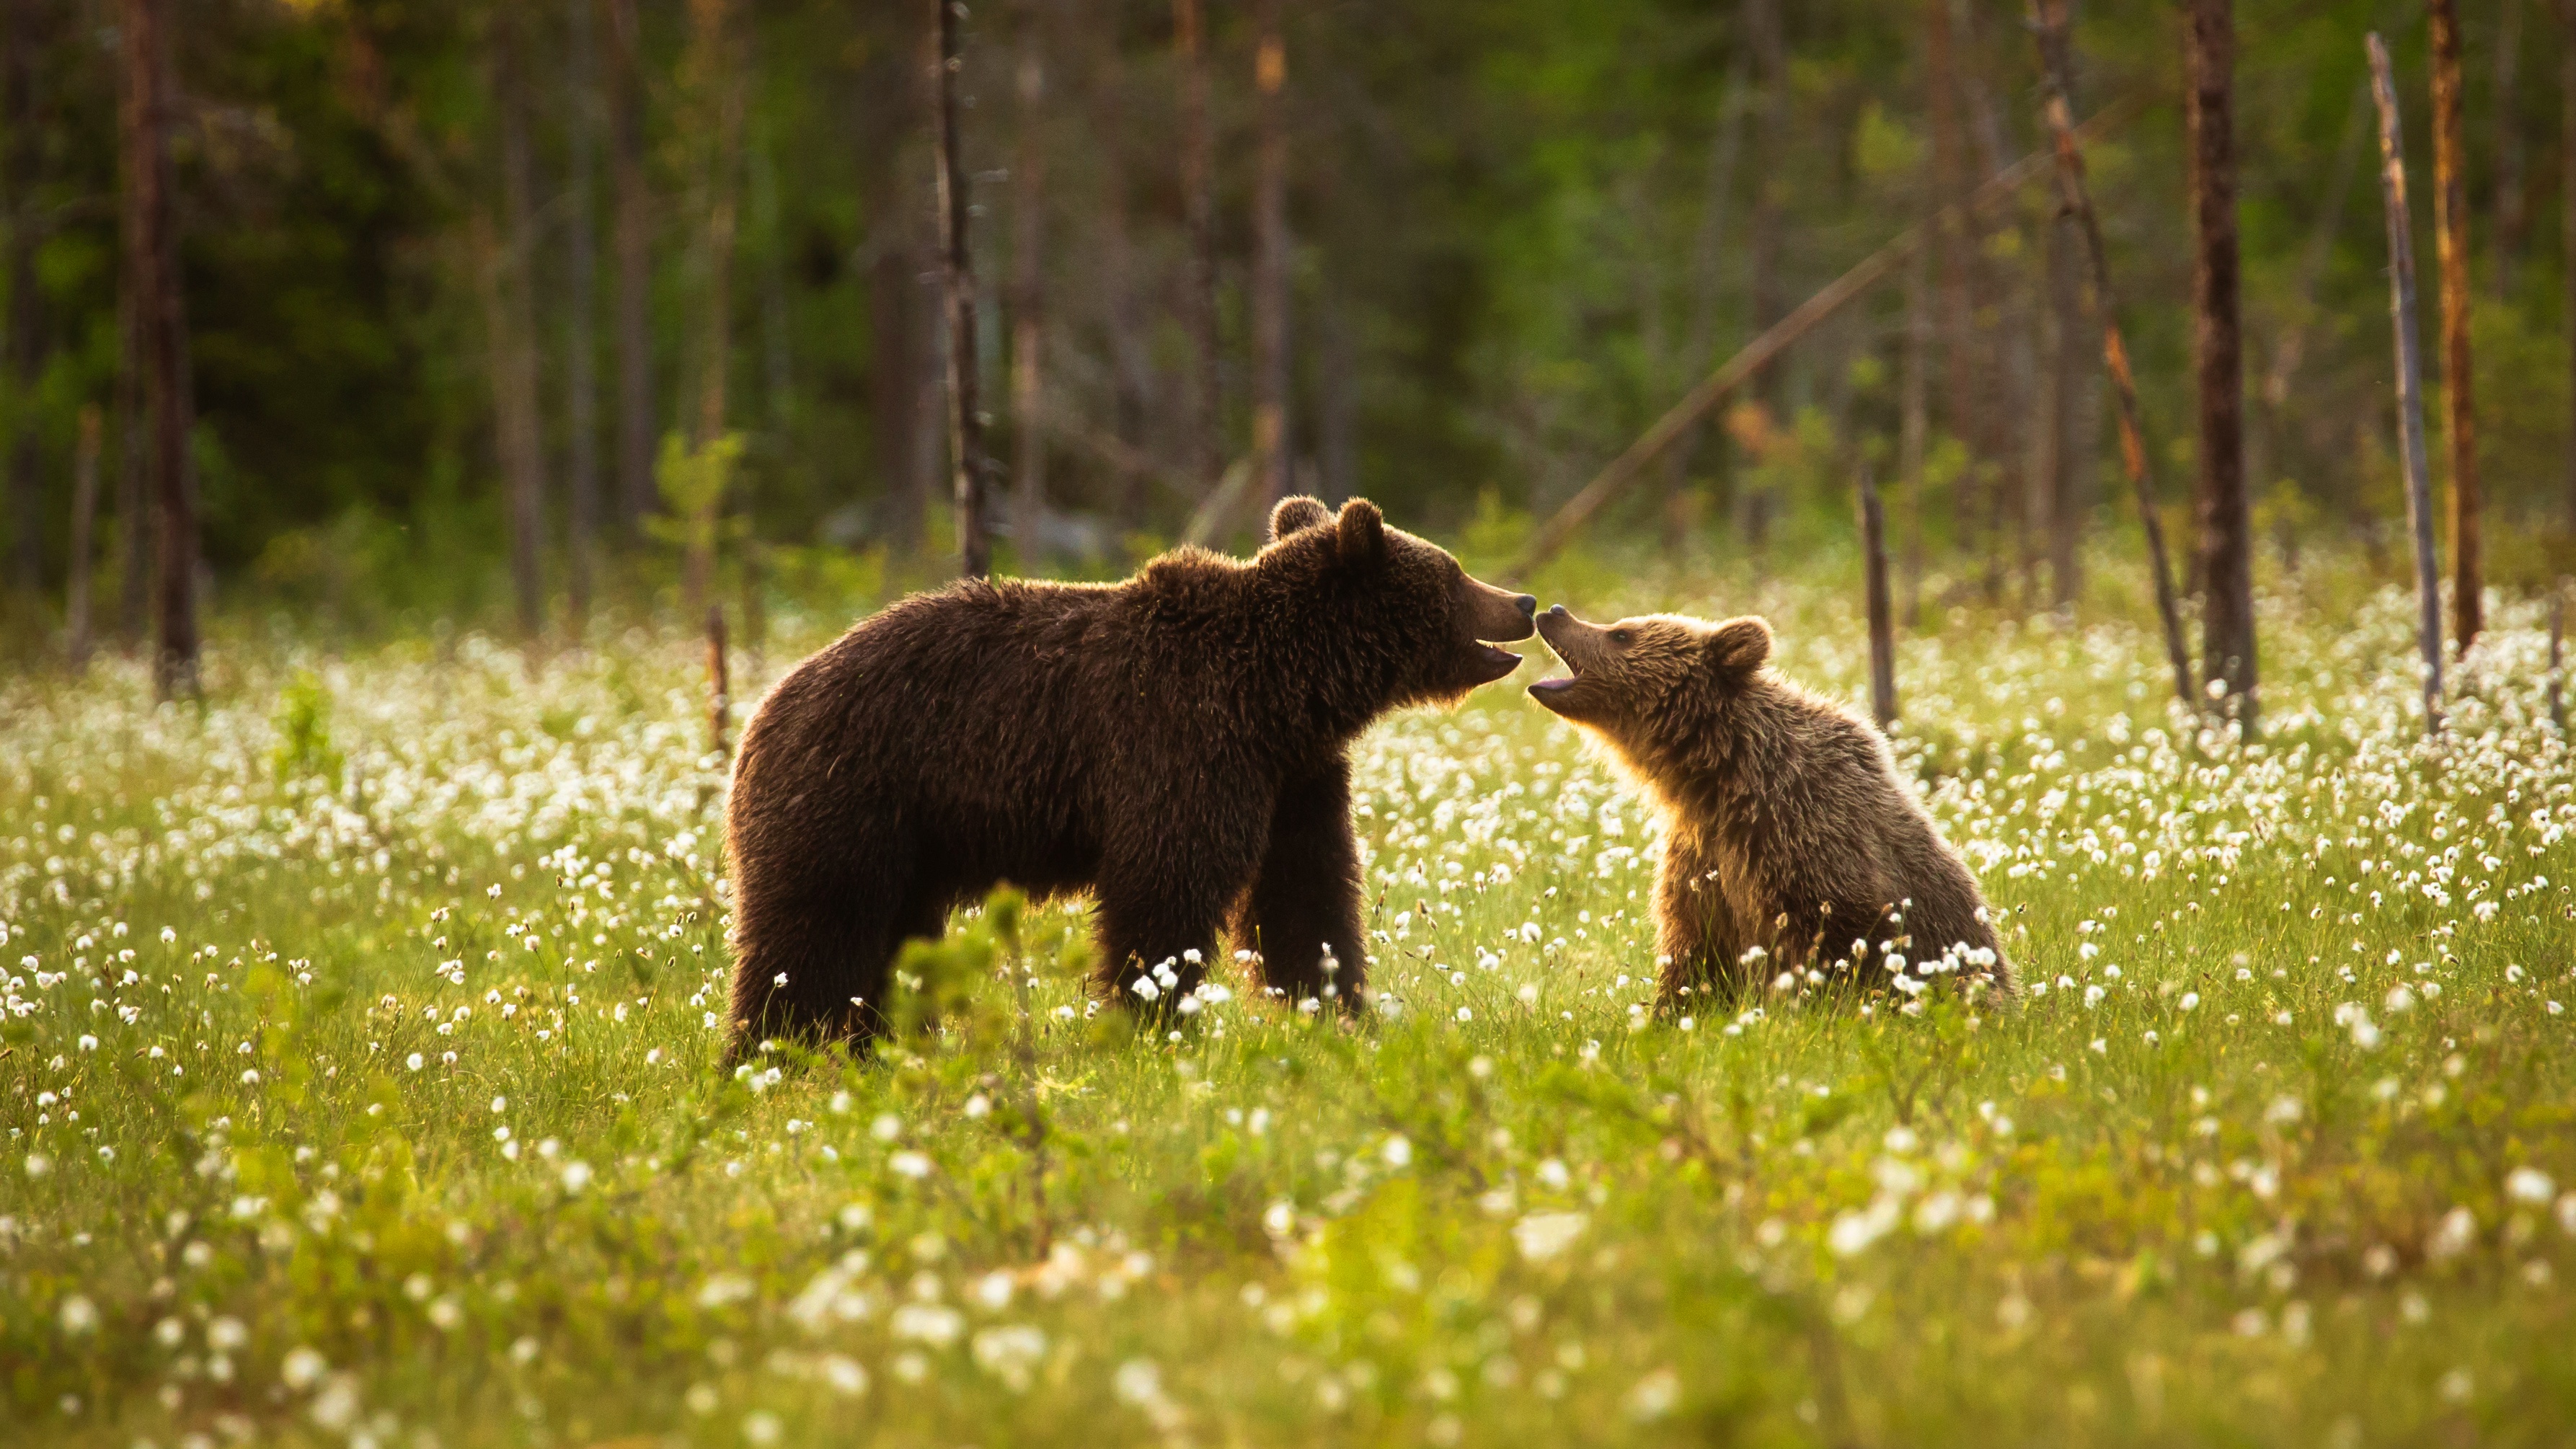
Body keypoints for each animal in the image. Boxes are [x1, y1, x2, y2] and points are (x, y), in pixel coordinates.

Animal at [716, 497, 1535, 1055]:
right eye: (1454, 574)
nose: (1523, 601)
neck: (1282, 695)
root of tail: (761, 714)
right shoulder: (1178, 744)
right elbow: (1165, 888)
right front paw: (1151, 1021)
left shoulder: (1293, 781)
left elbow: (1306, 895)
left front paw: (1337, 1009)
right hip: (852, 797)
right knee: (811, 934)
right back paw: (770, 1052)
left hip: (908, 845)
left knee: (887, 944)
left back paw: (870, 1050)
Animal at [1525, 610, 2009, 1009]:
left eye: (1621, 633)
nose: (1553, 612)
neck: (1718, 777)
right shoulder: (1703, 855)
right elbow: (1694, 950)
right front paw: (1667, 1013)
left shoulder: (1804, 832)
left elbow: (1838, 941)